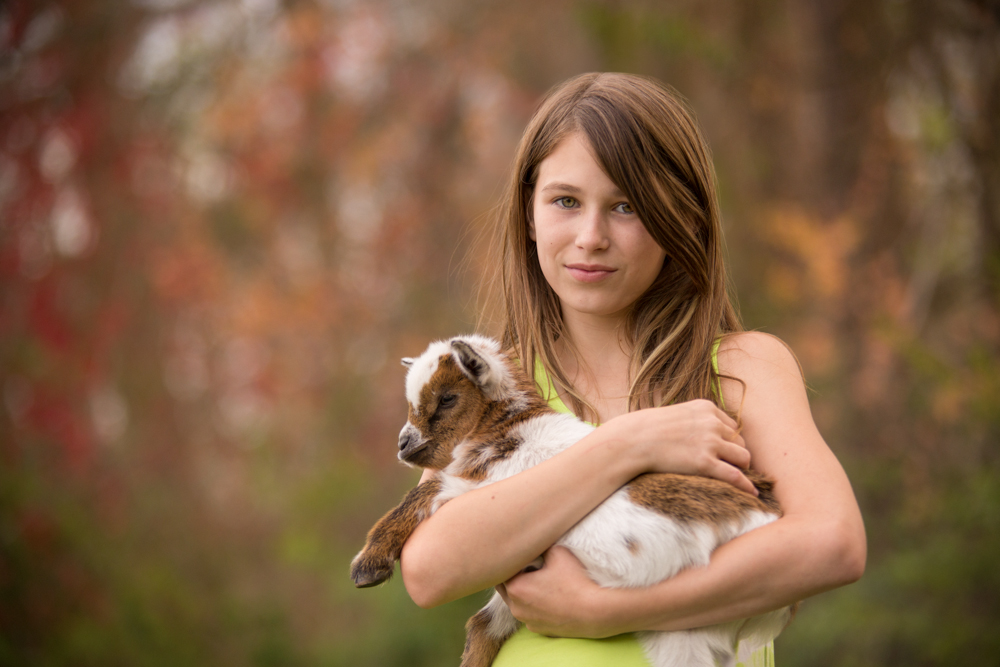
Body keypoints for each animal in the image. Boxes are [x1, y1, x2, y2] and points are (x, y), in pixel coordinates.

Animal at [352, 336, 796, 667]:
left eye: (447, 398)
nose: (403, 445)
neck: (507, 429)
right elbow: (484, 624)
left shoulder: (487, 488)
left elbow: (424, 492)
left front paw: (367, 566)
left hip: (683, 630)